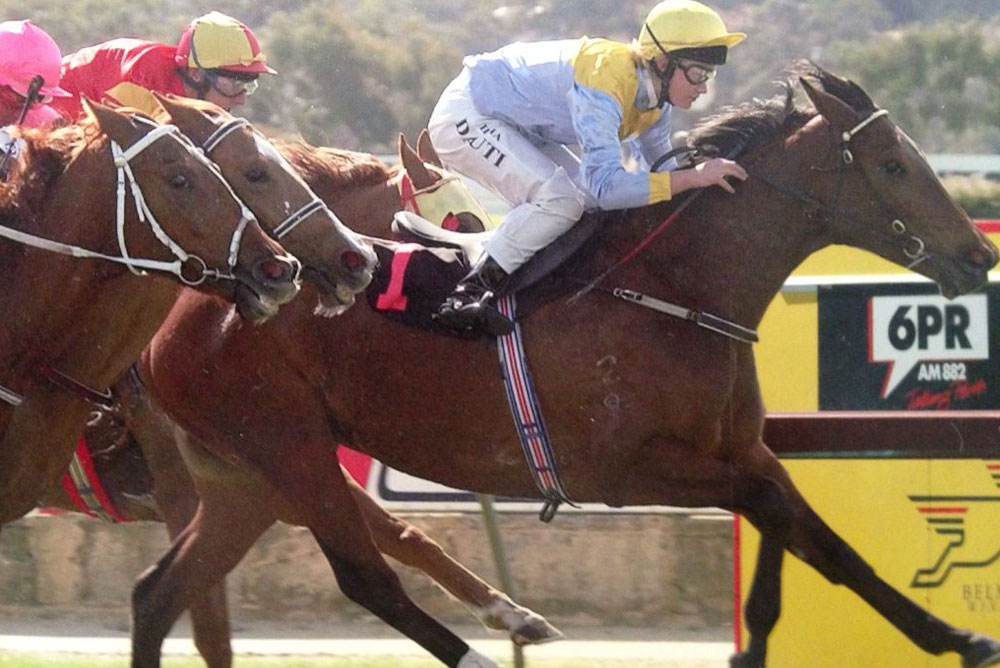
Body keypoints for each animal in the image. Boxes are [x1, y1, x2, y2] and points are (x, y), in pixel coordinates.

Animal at [34, 119, 554, 668]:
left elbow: (405, 535)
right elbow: (212, 626)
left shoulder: (273, 478)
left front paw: (512, 614)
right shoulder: (229, 478)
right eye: (459, 222)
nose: (489, 291)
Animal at [135, 63, 1000, 668]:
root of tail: (183, 317)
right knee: (362, 577)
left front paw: (946, 637)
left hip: (247, 477)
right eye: (891, 165)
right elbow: (787, 518)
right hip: (291, 450)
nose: (976, 254)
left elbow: (813, 537)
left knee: (156, 594)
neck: (672, 288)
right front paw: (945, 635)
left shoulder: (743, 450)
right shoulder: (627, 470)